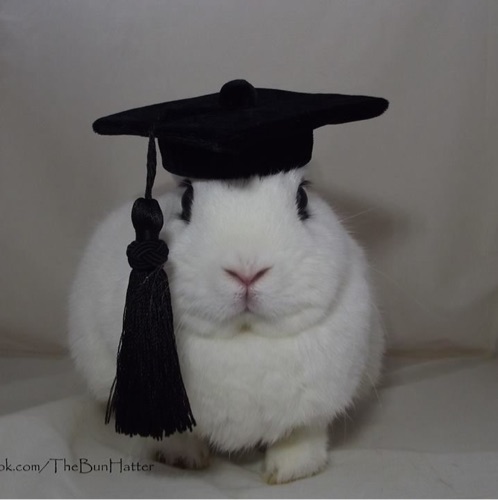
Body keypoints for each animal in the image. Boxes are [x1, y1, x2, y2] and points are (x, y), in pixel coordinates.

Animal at [68, 167, 385, 484]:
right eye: (186, 199)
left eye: (302, 197)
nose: (247, 271)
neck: (245, 336)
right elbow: (174, 433)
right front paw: (182, 458)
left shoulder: (316, 407)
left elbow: (302, 433)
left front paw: (290, 470)